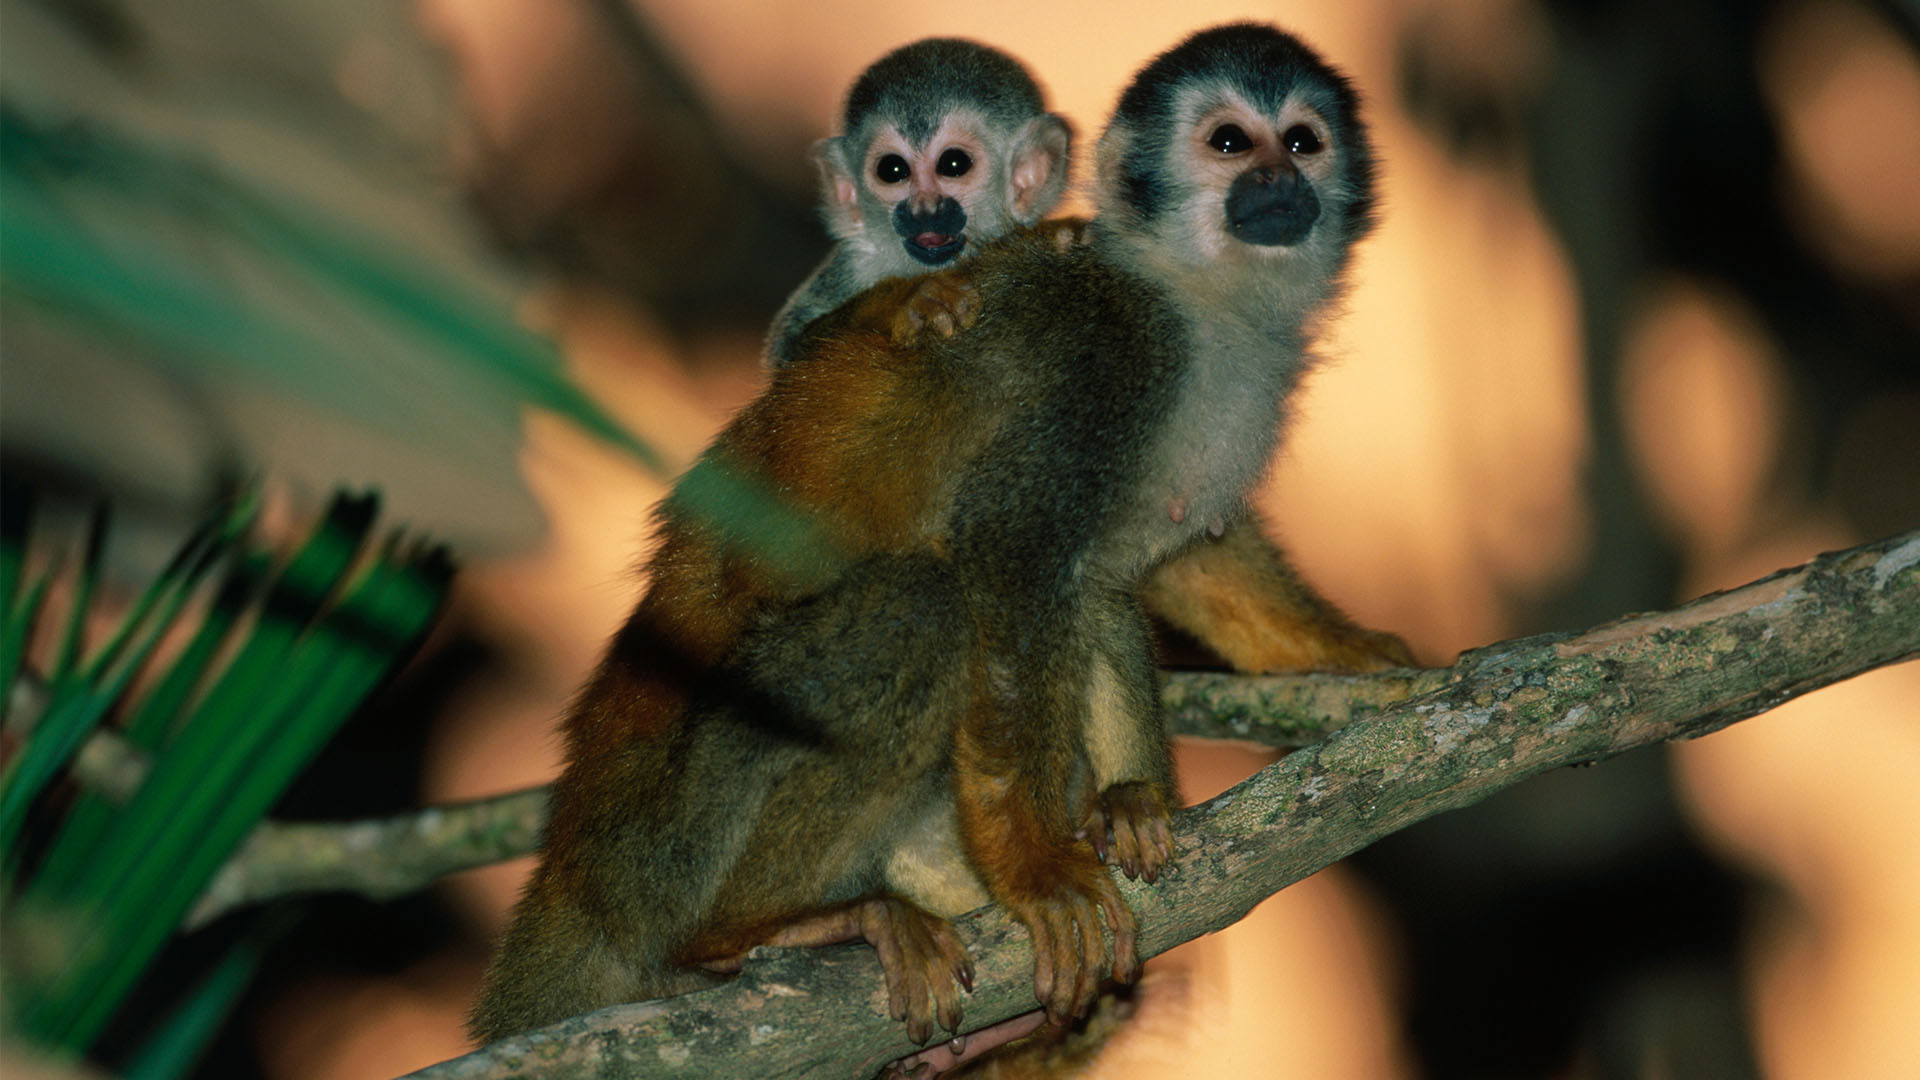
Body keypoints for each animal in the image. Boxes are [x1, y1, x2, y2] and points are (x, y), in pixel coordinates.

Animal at [765, 37, 1072, 370]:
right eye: (892, 170)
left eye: (954, 164)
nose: (923, 208)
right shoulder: (857, 261)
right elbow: (789, 355)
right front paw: (905, 302)